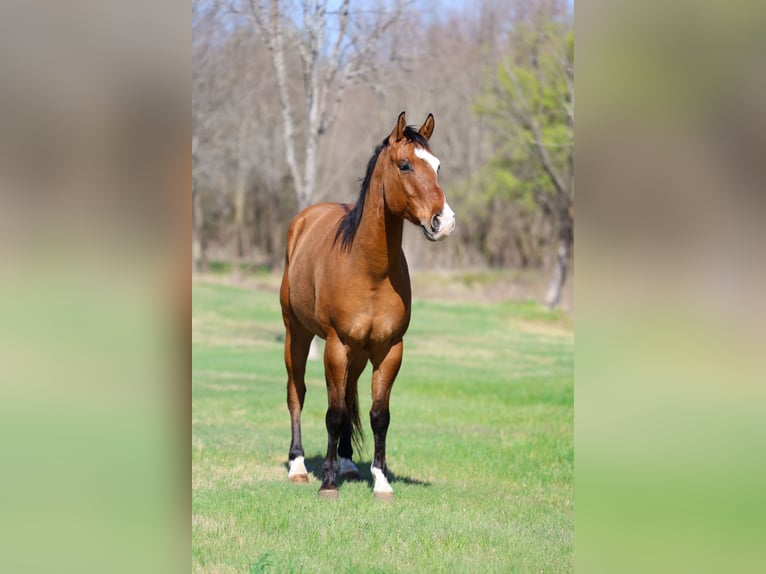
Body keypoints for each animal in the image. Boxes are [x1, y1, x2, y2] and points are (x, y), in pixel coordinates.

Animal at [279, 111, 455, 499]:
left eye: (437, 166)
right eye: (405, 165)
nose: (444, 222)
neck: (368, 268)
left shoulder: (390, 349)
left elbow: (378, 415)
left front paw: (381, 480)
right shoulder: (335, 346)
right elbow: (333, 413)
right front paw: (328, 484)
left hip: (358, 354)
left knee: (349, 396)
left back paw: (347, 463)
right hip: (297, 335)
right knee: (297, 393)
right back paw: (298, 466)